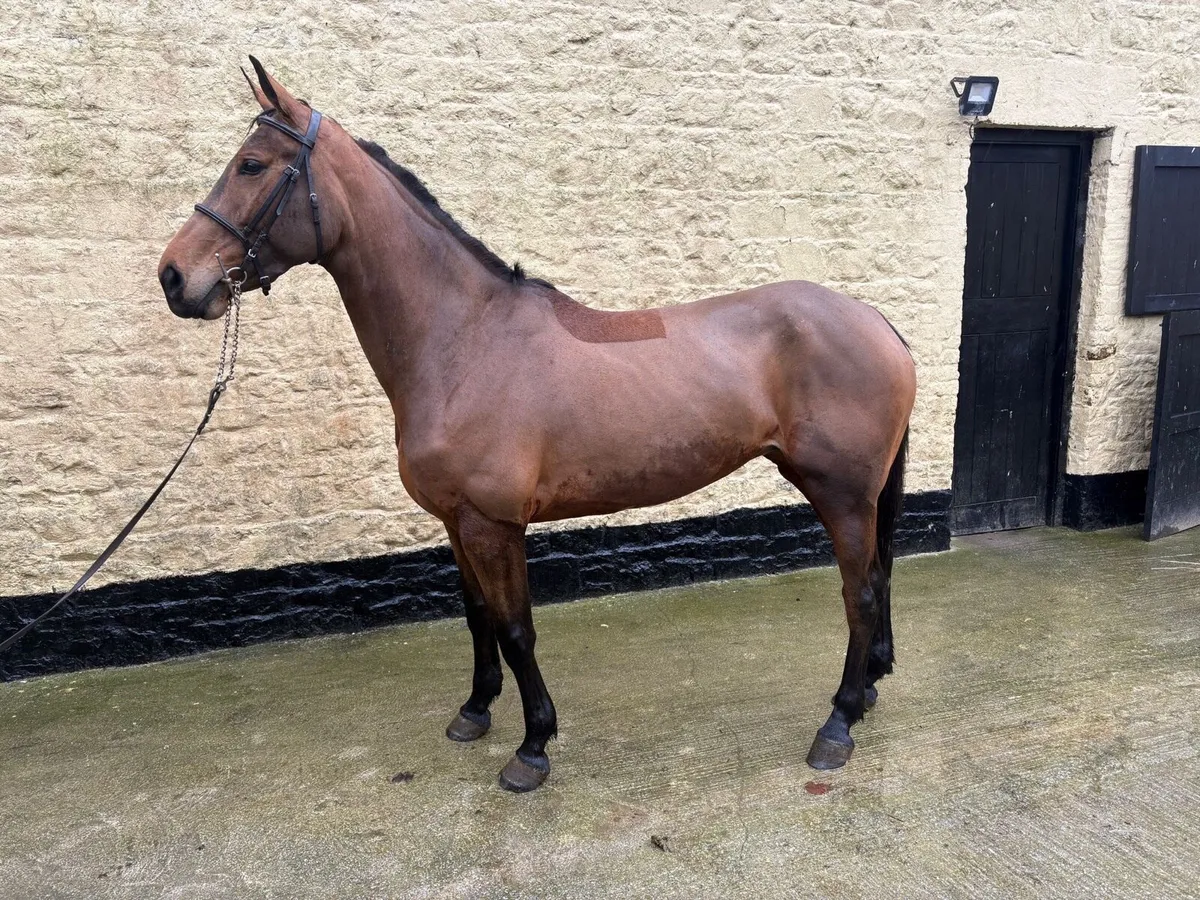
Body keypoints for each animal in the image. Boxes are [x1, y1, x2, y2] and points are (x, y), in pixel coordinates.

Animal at [158, 58, 916, 793]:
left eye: (251, 165)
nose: (174, 277)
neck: (466, 341)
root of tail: (875, 320)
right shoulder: (456, 521)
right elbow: (478, 618)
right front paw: (474, 711)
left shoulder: (495, 524)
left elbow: (517, 629)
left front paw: (532, 748)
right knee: (875, 585)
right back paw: (868, 693)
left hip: (842, 494)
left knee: (861, 591)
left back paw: (837, 724)